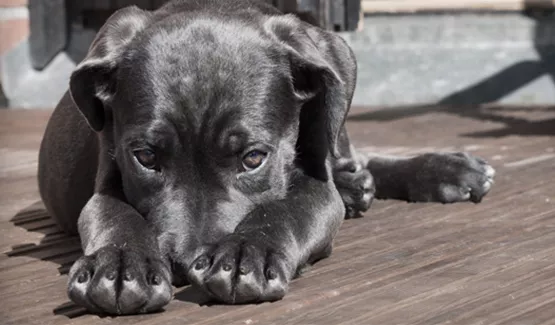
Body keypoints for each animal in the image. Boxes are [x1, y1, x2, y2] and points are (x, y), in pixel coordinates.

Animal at [37, 0, 498, 314]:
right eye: (146, 157)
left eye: (254, 158)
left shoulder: (315, 185)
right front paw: (119, 264)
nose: (185, 263)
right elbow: (113, 214)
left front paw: (247, 252)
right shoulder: (107, 177)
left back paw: (441, 170)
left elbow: (288, 208)